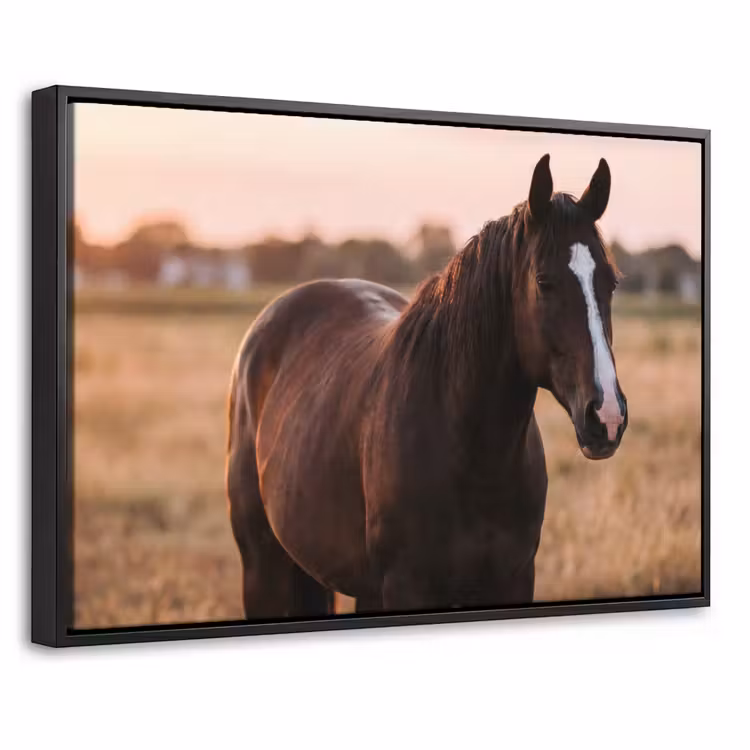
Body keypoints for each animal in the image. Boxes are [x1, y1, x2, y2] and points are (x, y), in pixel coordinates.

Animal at [226, 154, 628, 619]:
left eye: (611, 282)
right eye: (544, 282)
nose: (607, 415)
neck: (470, 454)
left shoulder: (513, 579)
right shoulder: (407, 587)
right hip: (263, 568)